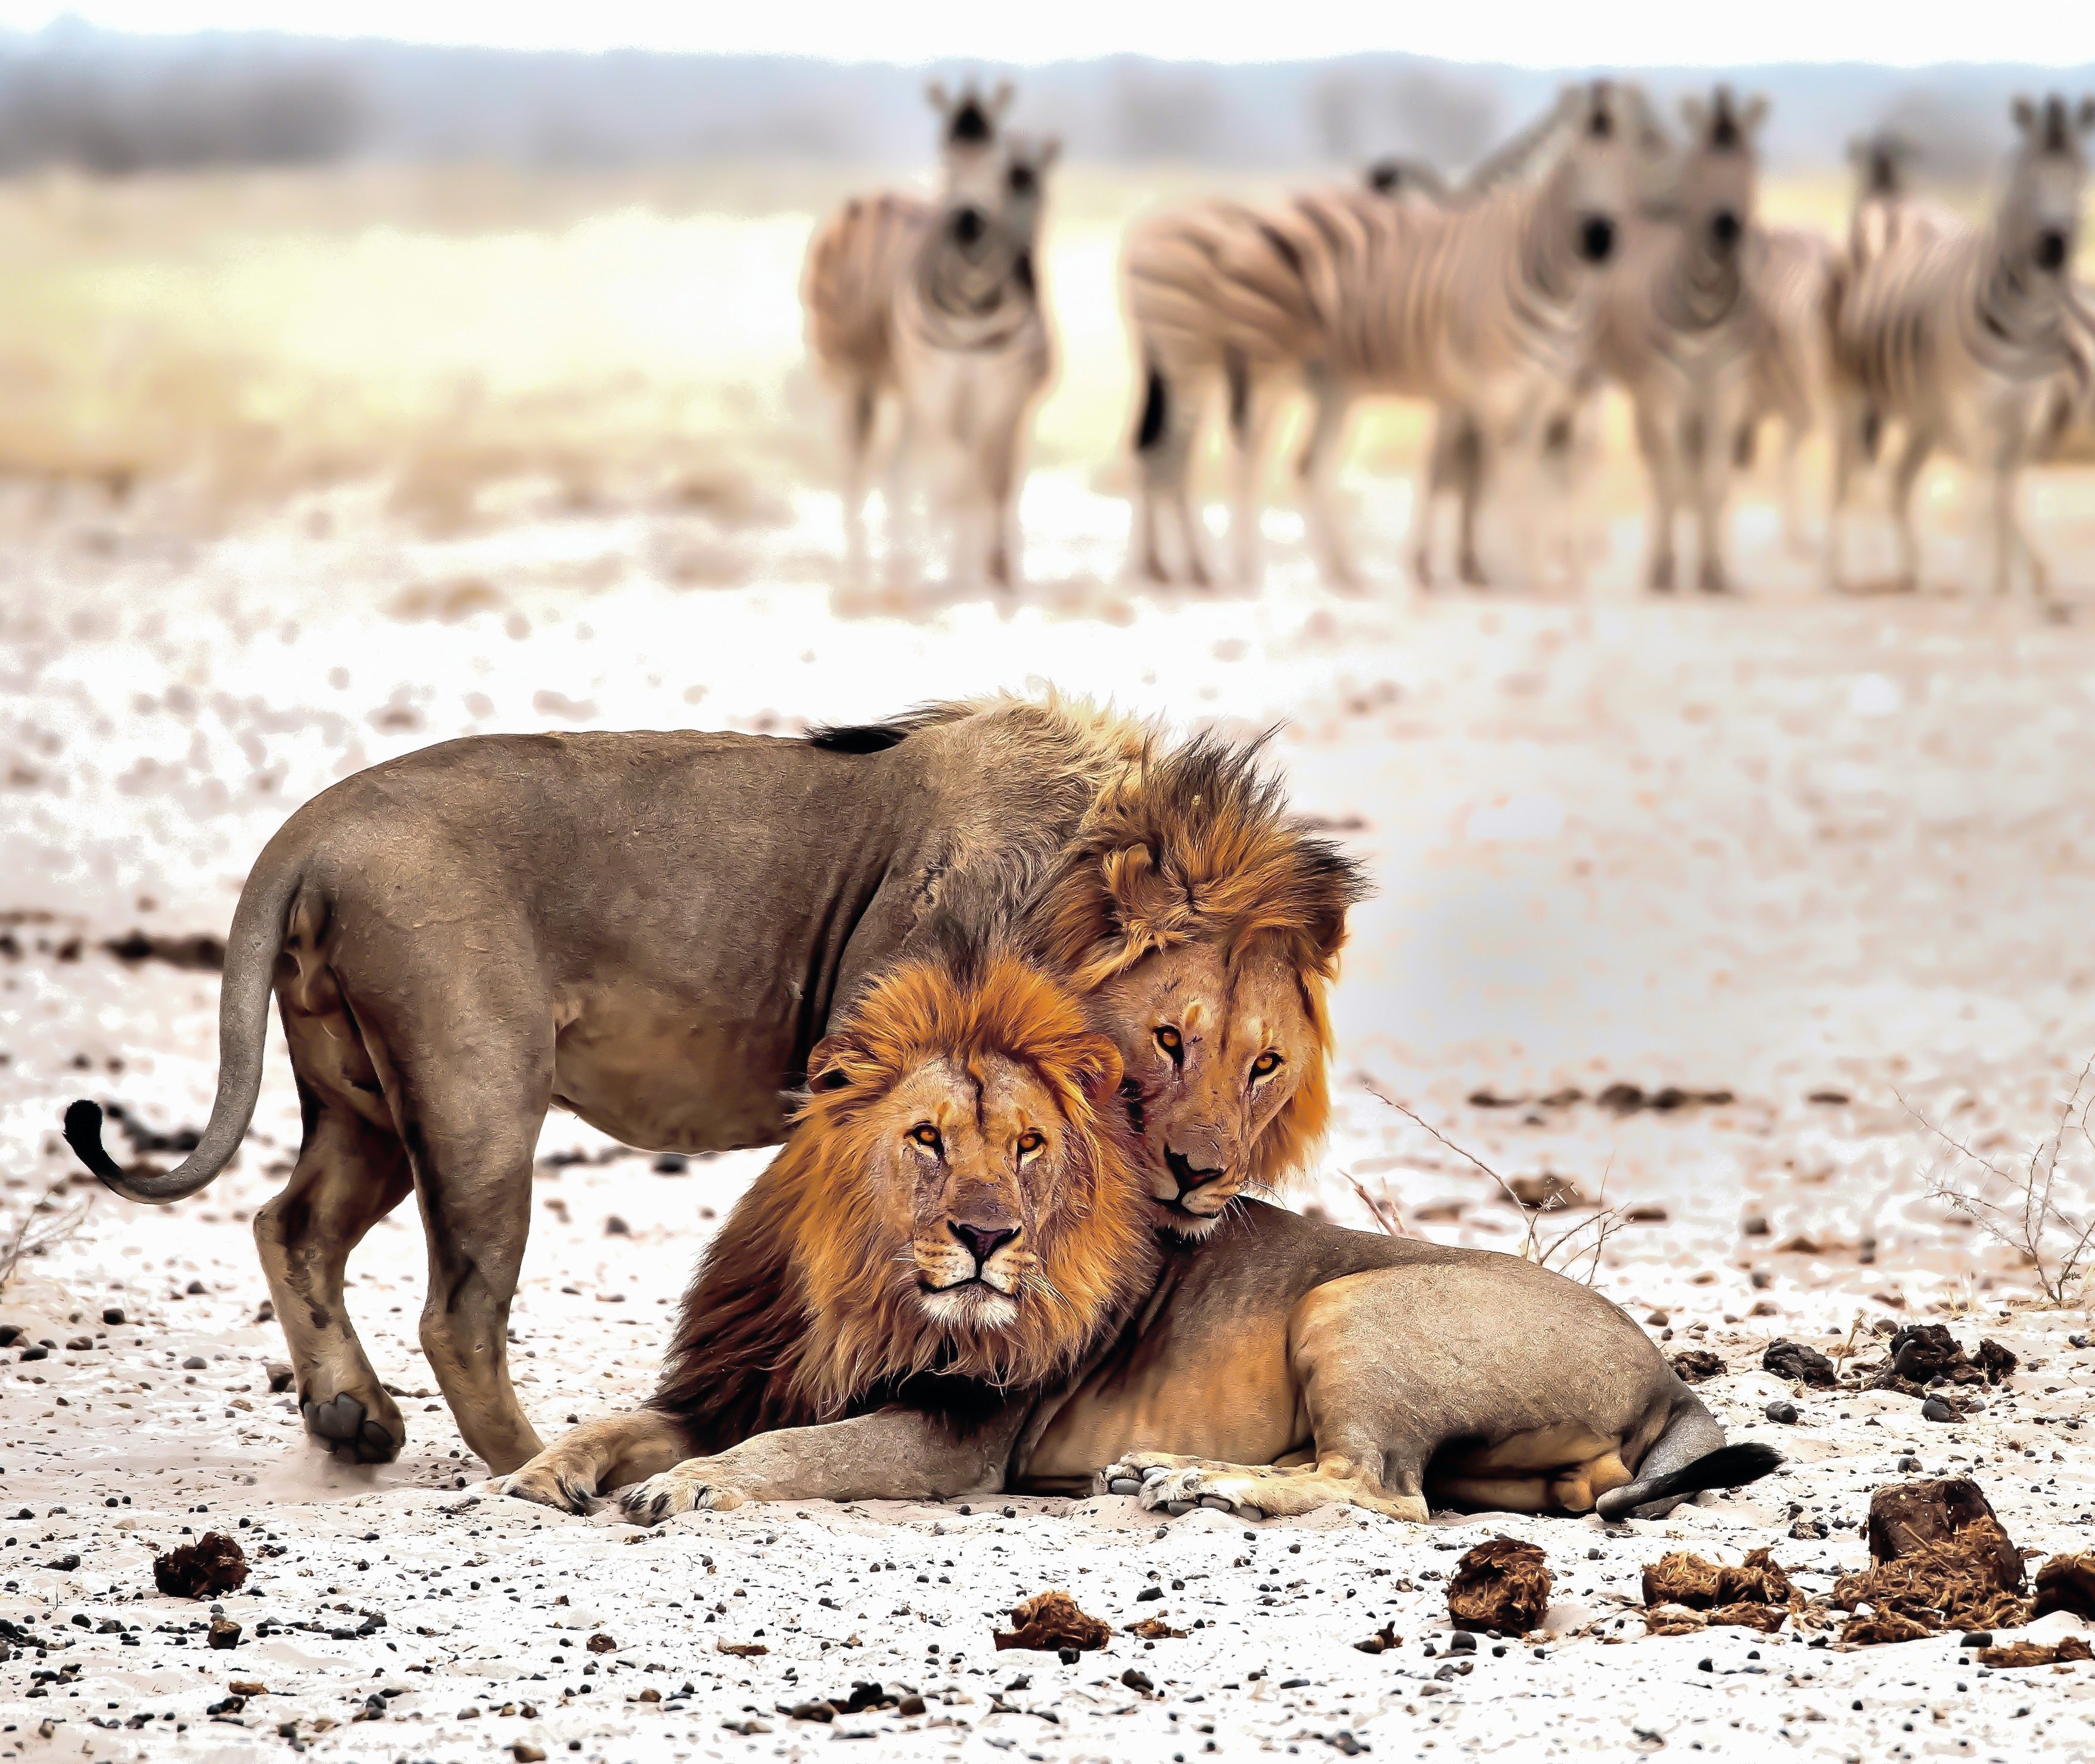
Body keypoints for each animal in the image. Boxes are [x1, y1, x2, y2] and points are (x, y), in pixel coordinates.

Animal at [802, 83, 1057, 588]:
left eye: (994, 162)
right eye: (944, 158)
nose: (968, 227)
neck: (975, 301)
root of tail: (866, 199)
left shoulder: (1004, 395)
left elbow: (995, 479)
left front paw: (996, 569)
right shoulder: (946, 394)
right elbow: (961, 480)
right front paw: (965, 570)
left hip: (909, 396)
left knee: (897, 469)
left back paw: (902, 565)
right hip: (855, 380)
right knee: (855, 468)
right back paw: (861, 573)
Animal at [1121, 80, 1647, 589]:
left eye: (1634, 164)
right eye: (1572, 166)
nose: (1600, 241)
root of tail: (1145, 231)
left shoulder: (1526, 392)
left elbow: (1506, 473)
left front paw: (1504, 567)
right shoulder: (1485, 389)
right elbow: (1479, 473)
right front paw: (1486, 569)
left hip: (1287, 380)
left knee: (1220, 457)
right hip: (1222, 363)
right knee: (1206, 455)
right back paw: (1221, 572)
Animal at [1592, 86, 1769, 594]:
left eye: (1751, 163)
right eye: (1699, 167)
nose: (1727, 228)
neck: (1707, 303)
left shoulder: (1728, 391)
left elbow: (1713, 480)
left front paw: (1715, 572)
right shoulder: (1664, 390)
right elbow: (1670, 478)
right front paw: (1665, 571)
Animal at [1827, 95, 2095, 596]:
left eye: (2082, 175)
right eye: (2026, 178)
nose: (2055, 247)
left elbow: (1996, 490)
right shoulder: (1954, 410)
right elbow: (1987, 490)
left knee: (1880, 476)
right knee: (1870, 475)